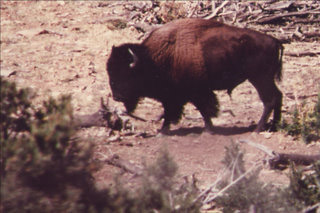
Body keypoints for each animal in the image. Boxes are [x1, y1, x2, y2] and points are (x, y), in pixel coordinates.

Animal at [107, 18, 282, 133]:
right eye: (110, 72)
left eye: (127, 74)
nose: (116, 96)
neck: (152, 59)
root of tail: (274, 41)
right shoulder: (178, 95)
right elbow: (188, 110)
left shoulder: (192, 92)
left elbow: (200, 109)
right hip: (265, 79)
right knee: (278, 96)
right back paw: (273, 126)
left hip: (260, 79)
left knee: (269, 100)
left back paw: (258, 129)